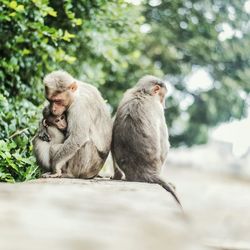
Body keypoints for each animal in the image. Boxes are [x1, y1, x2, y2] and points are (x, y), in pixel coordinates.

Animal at [111, 75, 182, 208]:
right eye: (162, 96)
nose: (164, 104)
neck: (142, 92)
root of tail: (146, 173)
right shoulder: (158, 109)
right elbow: (165, 143)